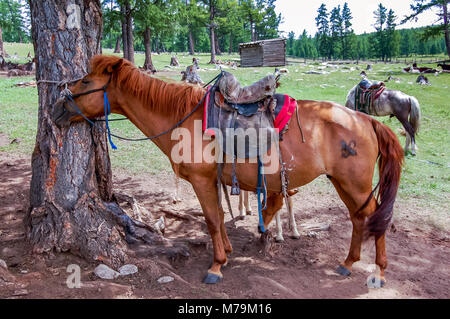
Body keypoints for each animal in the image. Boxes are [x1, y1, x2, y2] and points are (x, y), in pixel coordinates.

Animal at [51, 57, 404, 288]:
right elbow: (220, 217)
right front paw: (228, 253)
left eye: (86, 82)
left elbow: (210, 218)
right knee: (359, 218)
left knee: (373, 217)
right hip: (344, 183)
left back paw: (379, 272)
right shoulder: (214, 181)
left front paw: (217, 266)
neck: (182, 119)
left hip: (355, 184)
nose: (56, 108)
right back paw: (348, 264)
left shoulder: (202, 181)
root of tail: (365, 119)